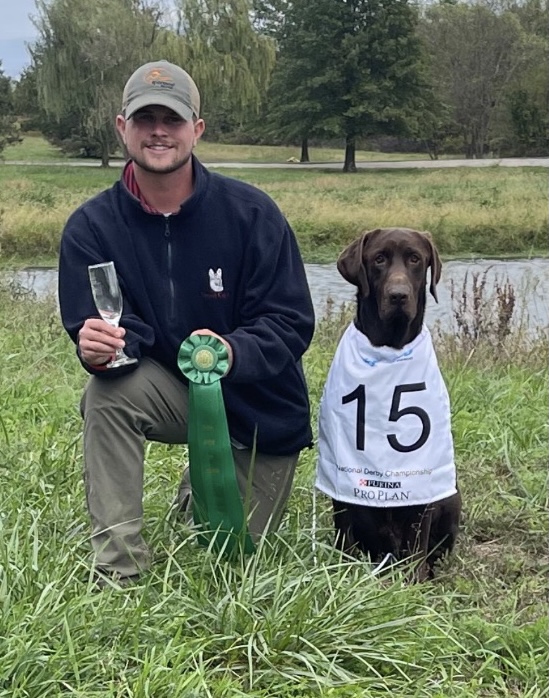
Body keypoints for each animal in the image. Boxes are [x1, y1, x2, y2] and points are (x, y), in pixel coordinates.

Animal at [314, 227, 460, 576]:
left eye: (415, 259)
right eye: (379, 259)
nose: (398, 295)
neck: (389, 350)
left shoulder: (421, 487)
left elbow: (418, 543)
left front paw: (416, 581)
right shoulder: (341, 486)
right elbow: (345, 531)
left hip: (452, 497)